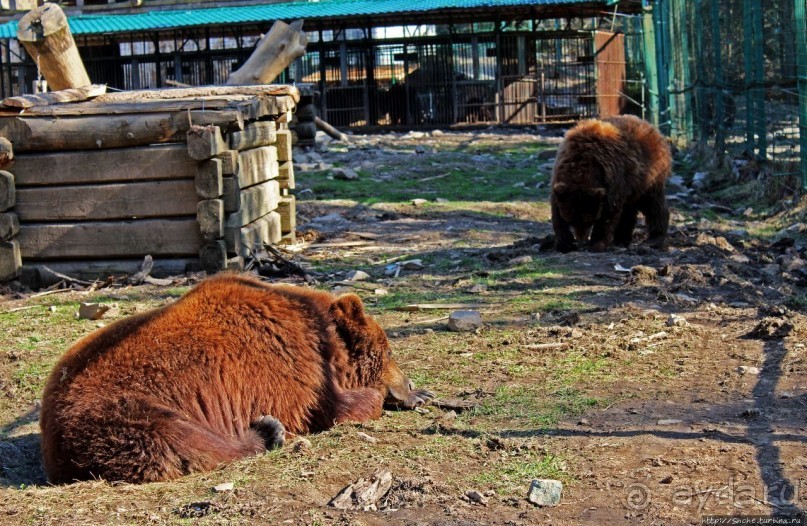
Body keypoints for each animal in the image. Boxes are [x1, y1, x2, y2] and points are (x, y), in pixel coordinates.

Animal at [41, 276, 436, 486]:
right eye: (388, 350)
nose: (409, 384)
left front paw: (422, 394)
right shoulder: (298, 376)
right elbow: (339, 408)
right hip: (122, 410)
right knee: (181, 442)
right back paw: (265, 432)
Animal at [548, 115, 676, 254]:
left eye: (589, 220)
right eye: (572, 220)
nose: (582, 241)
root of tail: (649, 125)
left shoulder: (612, 181)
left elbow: (608, 213)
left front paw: (596, 244)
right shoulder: (559, 182)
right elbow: (557, 214)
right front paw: (564, 244)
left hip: (649, 175)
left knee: (653, 204)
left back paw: (655, 236)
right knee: (629, 209)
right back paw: (622, 238)